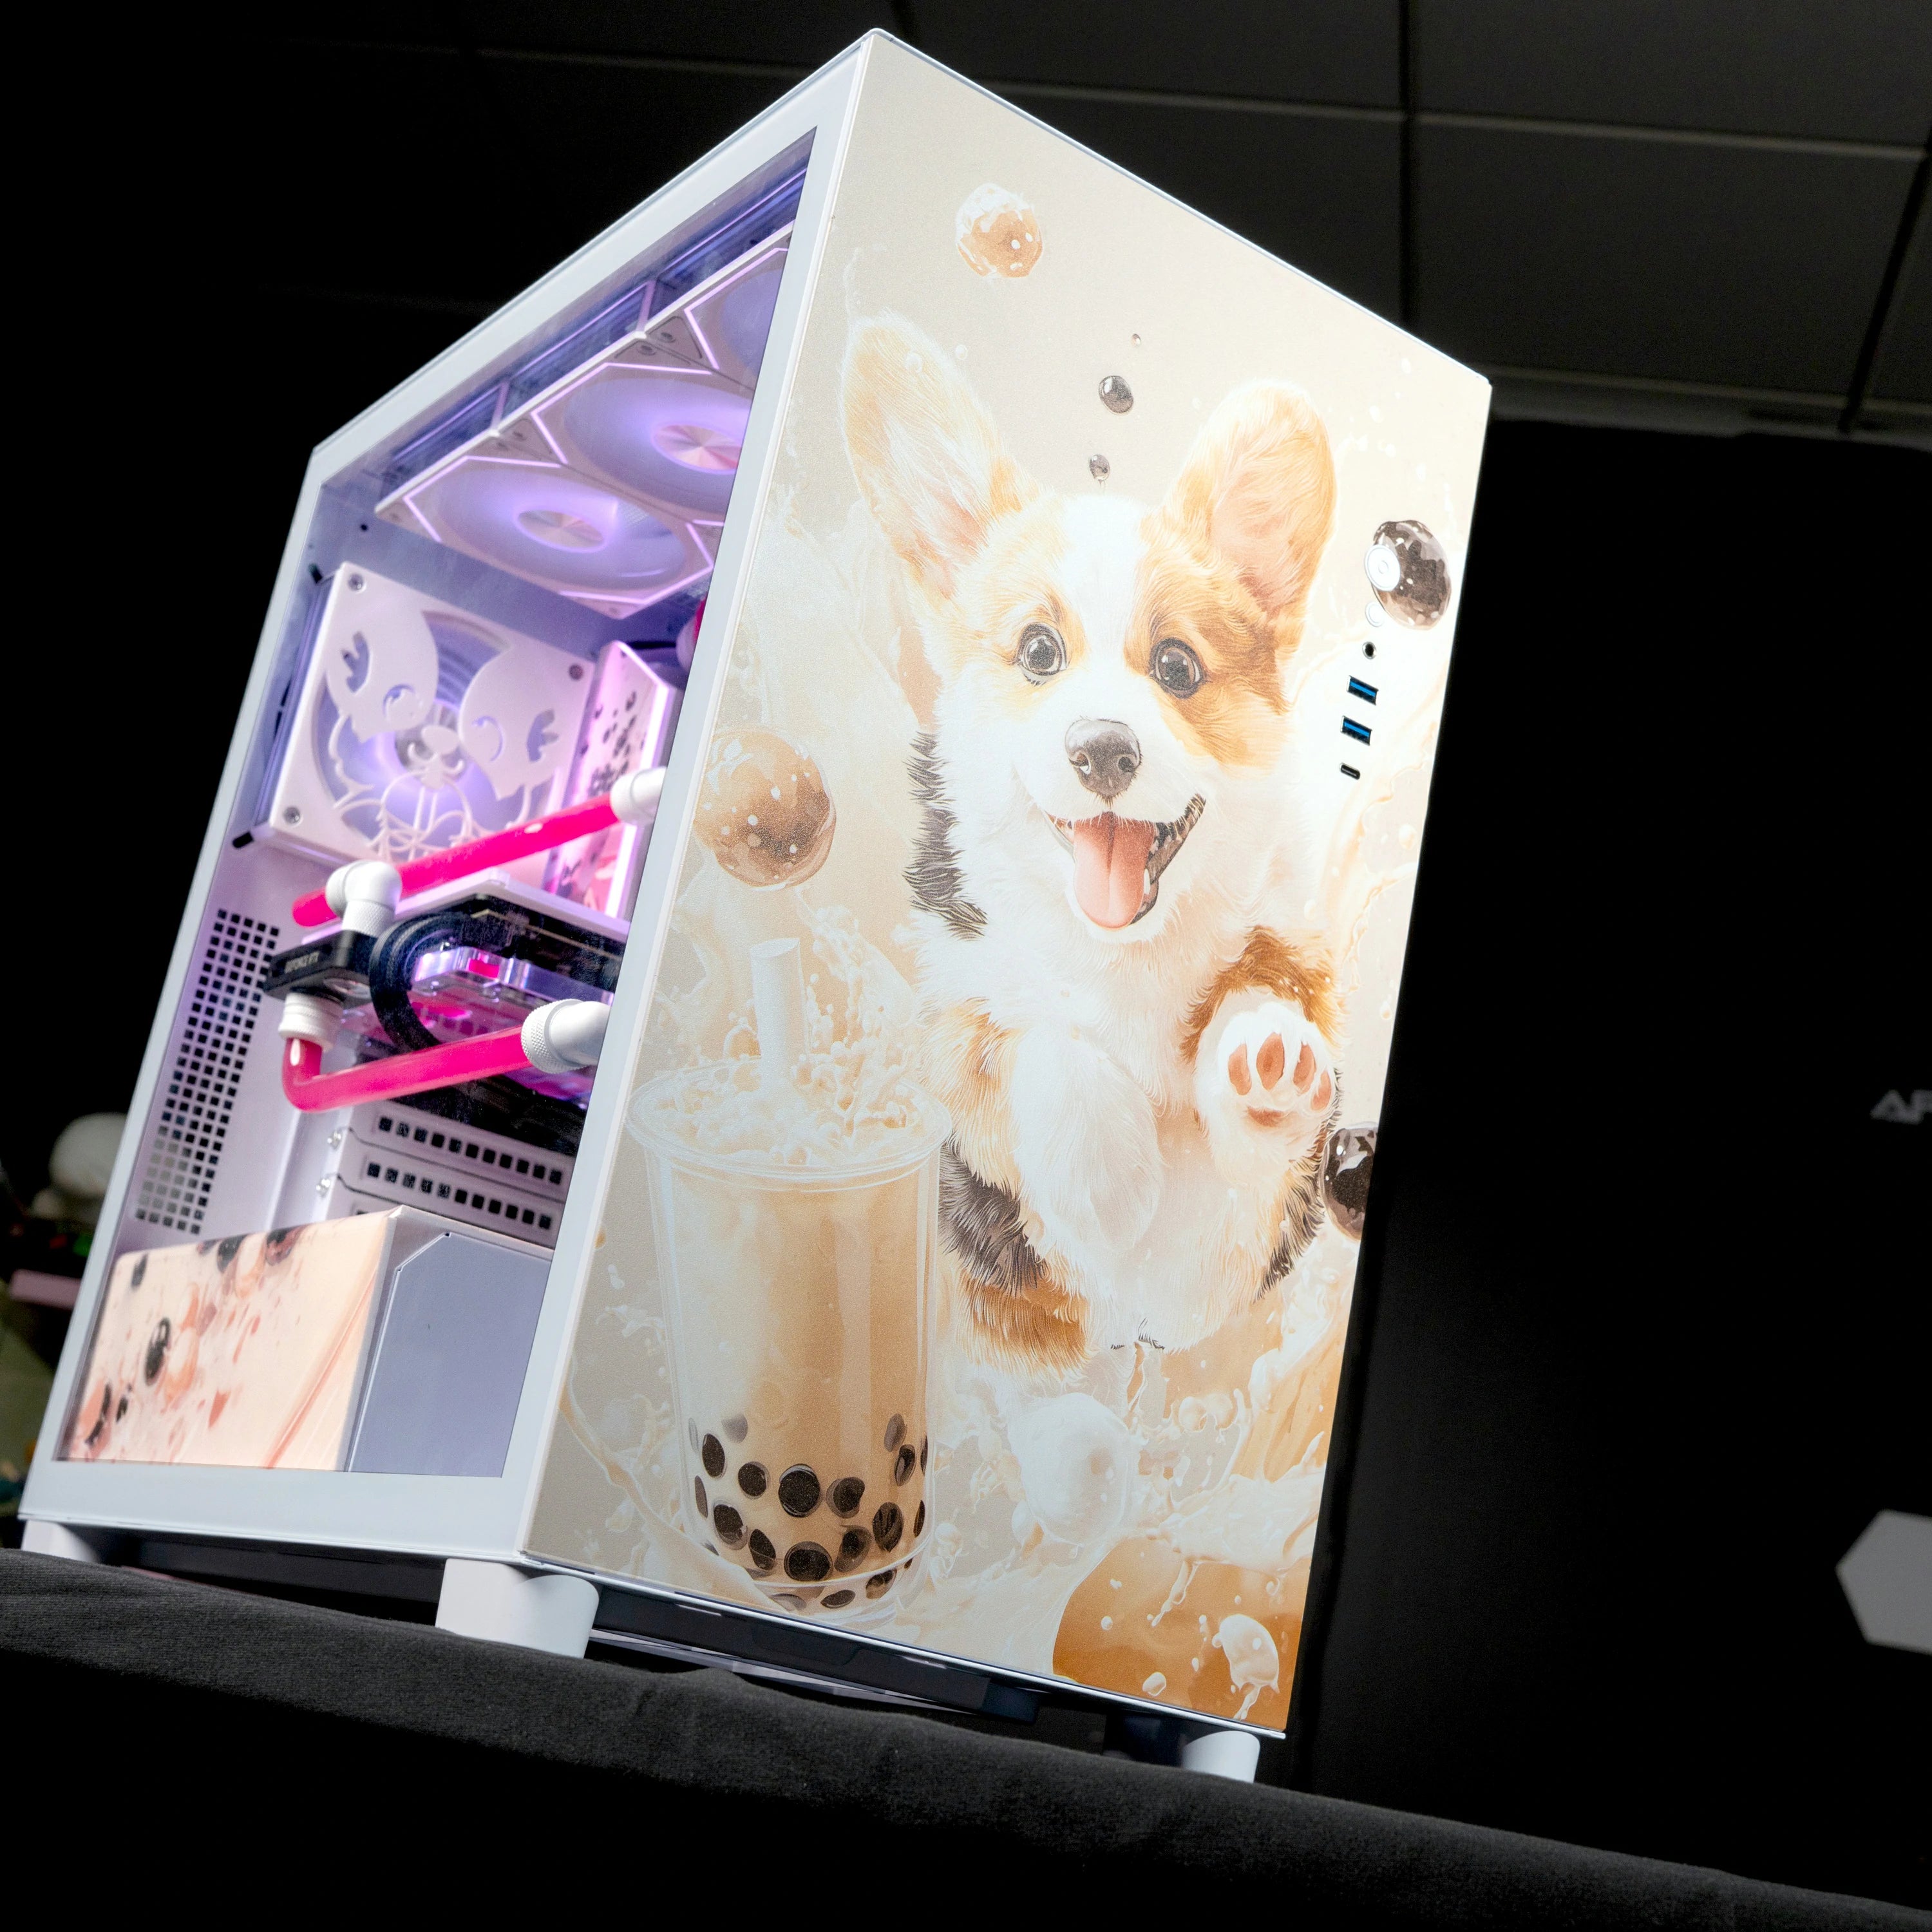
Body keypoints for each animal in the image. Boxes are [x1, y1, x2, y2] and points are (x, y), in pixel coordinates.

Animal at [843, 316, 1342, 1371]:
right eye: (1039, 652)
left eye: (1177, 667)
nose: (1104, 749)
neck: (1123, 953)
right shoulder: (953, 1001)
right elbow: (1024, 1043)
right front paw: (1108, 1171)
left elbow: (1264, 1003)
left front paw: (1267, 1068)